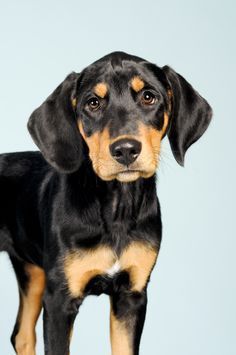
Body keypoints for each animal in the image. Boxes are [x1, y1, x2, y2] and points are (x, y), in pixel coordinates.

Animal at [0, 51, 212, 354]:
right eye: (93, 103)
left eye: (149, 97)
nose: (125, 150)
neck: (116, 209)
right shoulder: (59, 299)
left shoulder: (132, 295)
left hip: (32, 270)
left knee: (22, 334)